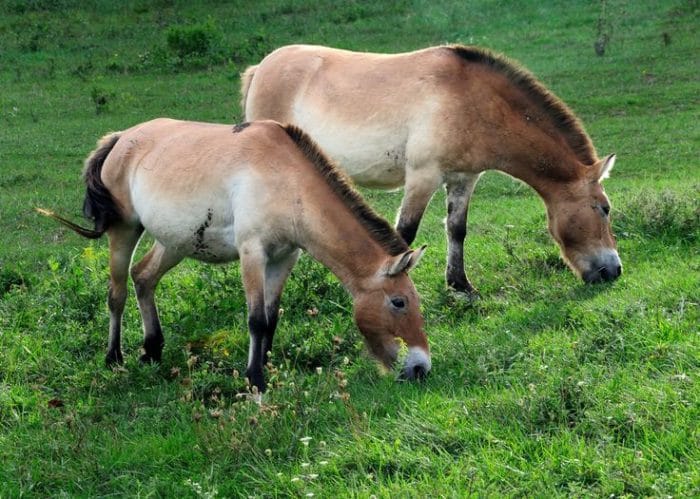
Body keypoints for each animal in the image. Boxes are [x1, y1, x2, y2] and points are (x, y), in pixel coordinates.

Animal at [41, 119, 432, 392]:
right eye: (398, 302)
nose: (420, 368)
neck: (288, 182)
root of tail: (121, 138)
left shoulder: (284, 257)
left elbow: (271, 319)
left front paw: (267, 365)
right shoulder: (252, 253)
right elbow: (256, 319)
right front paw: (256, 379)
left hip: (173, 243)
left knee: (144, 277)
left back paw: (152, 350)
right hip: (124, 231)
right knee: (117, 293)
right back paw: (114, 358)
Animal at [242, 45, 624, 294]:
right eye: (604, 209)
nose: (614, 270)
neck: (471, 101)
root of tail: (260, 68)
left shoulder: (463, 179)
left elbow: (457, 229)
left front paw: (460, 285)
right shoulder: (423, 178)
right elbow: (405, 235)